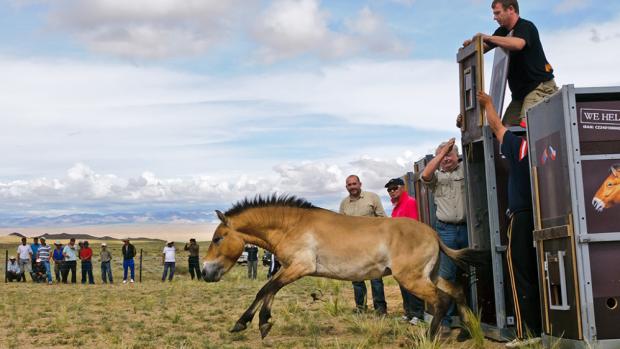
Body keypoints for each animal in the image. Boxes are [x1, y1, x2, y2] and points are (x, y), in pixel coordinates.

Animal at [203, 193, 490, 338]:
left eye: (217, 238)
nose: (206, 272)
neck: (292, 225)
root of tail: (433, 234)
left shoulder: (299, 267)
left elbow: (266, 289)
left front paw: (251, 323)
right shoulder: (288, 268)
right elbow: (268, 290)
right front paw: (258, 323)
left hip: (412, 279)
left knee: (441, 300)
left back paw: (430, 337)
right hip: (428, 275)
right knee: (456, 291)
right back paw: (468, 331)